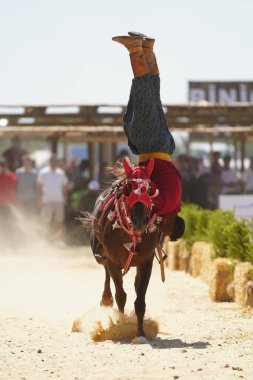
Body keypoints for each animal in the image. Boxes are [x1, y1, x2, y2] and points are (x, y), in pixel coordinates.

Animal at [85, 156, 162, 340]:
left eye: (150, 189)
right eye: (128, 188)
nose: (139, 221)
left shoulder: (146, 263)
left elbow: (140, 301)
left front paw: (140, 333)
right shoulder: (113, 261)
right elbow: (121, 296)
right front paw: (121, 325)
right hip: (101, 255)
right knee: (106, 272)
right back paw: (106, 299)